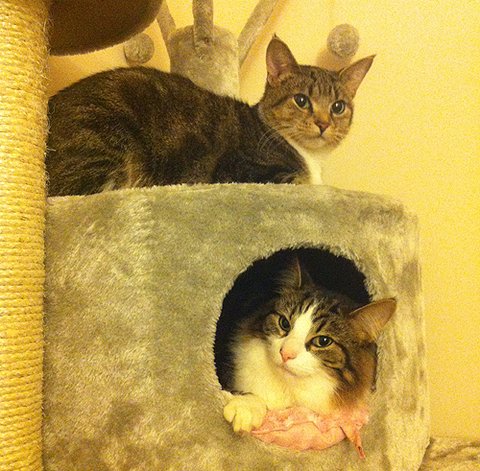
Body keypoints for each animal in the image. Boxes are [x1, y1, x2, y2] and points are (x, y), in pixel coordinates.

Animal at [46, 37, 374, 196]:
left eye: (338, 107)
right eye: (302, 100)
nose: (323, 124)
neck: (309, 157)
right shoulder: (246, 172)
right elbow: (310, 184)